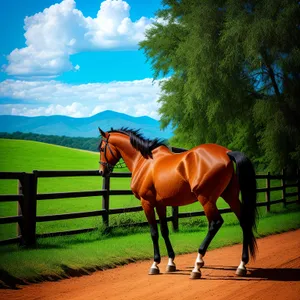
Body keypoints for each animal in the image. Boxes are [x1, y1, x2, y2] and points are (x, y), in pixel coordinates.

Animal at [98, 126, 258, 278]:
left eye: (102, 148)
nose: (101, 171)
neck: (144, 161)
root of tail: (226, 152)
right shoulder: (160, 204)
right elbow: (164, 231)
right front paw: (170, 263)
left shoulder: (147, 203)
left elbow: (154, 232)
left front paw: (155, 264)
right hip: (230, 196)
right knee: (244, 222)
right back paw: (242, 265)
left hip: (206, 199)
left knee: (215, 223)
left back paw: (197, 266)